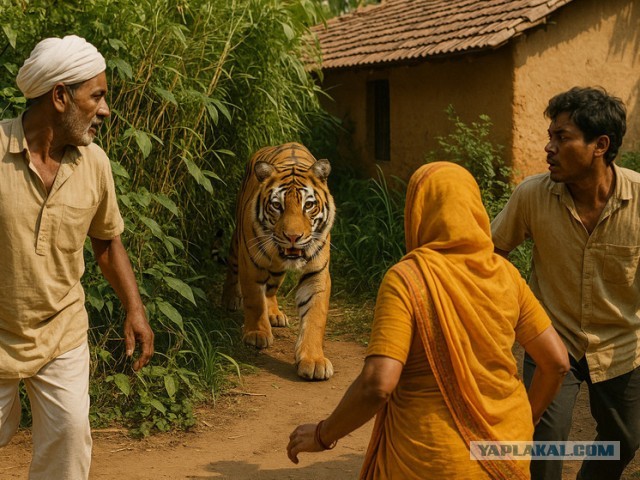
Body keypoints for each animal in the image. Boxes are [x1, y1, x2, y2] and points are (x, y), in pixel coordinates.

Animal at [221, 142, 336, 380]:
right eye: (277, 205)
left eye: (308, 205)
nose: (293, 236)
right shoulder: (250, 264)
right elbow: (254, 300)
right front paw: (257, 333)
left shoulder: (317, 273)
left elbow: (315, 317)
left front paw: (314, 360)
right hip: (238, 243)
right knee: (233, 266)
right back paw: (229, 299)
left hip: (276, 270)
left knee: (271, 288)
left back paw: (273, 314)